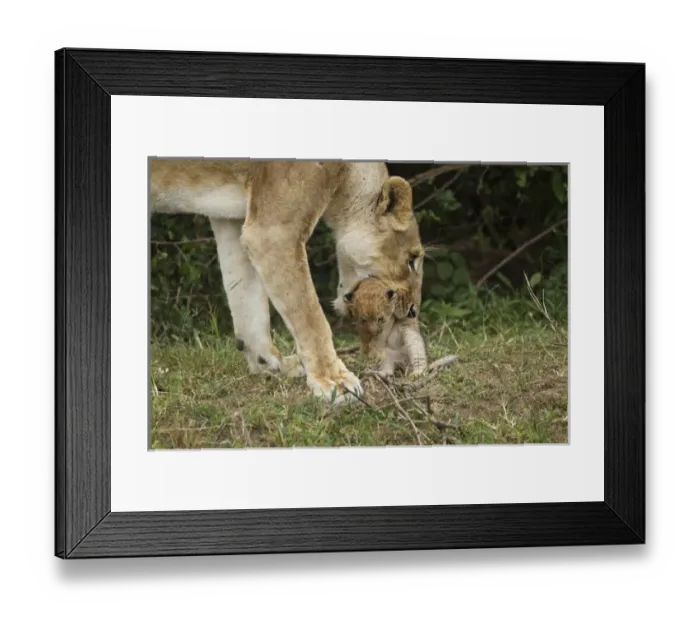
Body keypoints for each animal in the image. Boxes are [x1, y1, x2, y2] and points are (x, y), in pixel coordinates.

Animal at [149, 158, 424, 403]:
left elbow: (247, 300)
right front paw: (334, 382)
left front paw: (272, 364)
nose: (413, 310)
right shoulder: (273, 233)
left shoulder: (234, 220)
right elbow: (310, 316)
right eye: (412, 259)